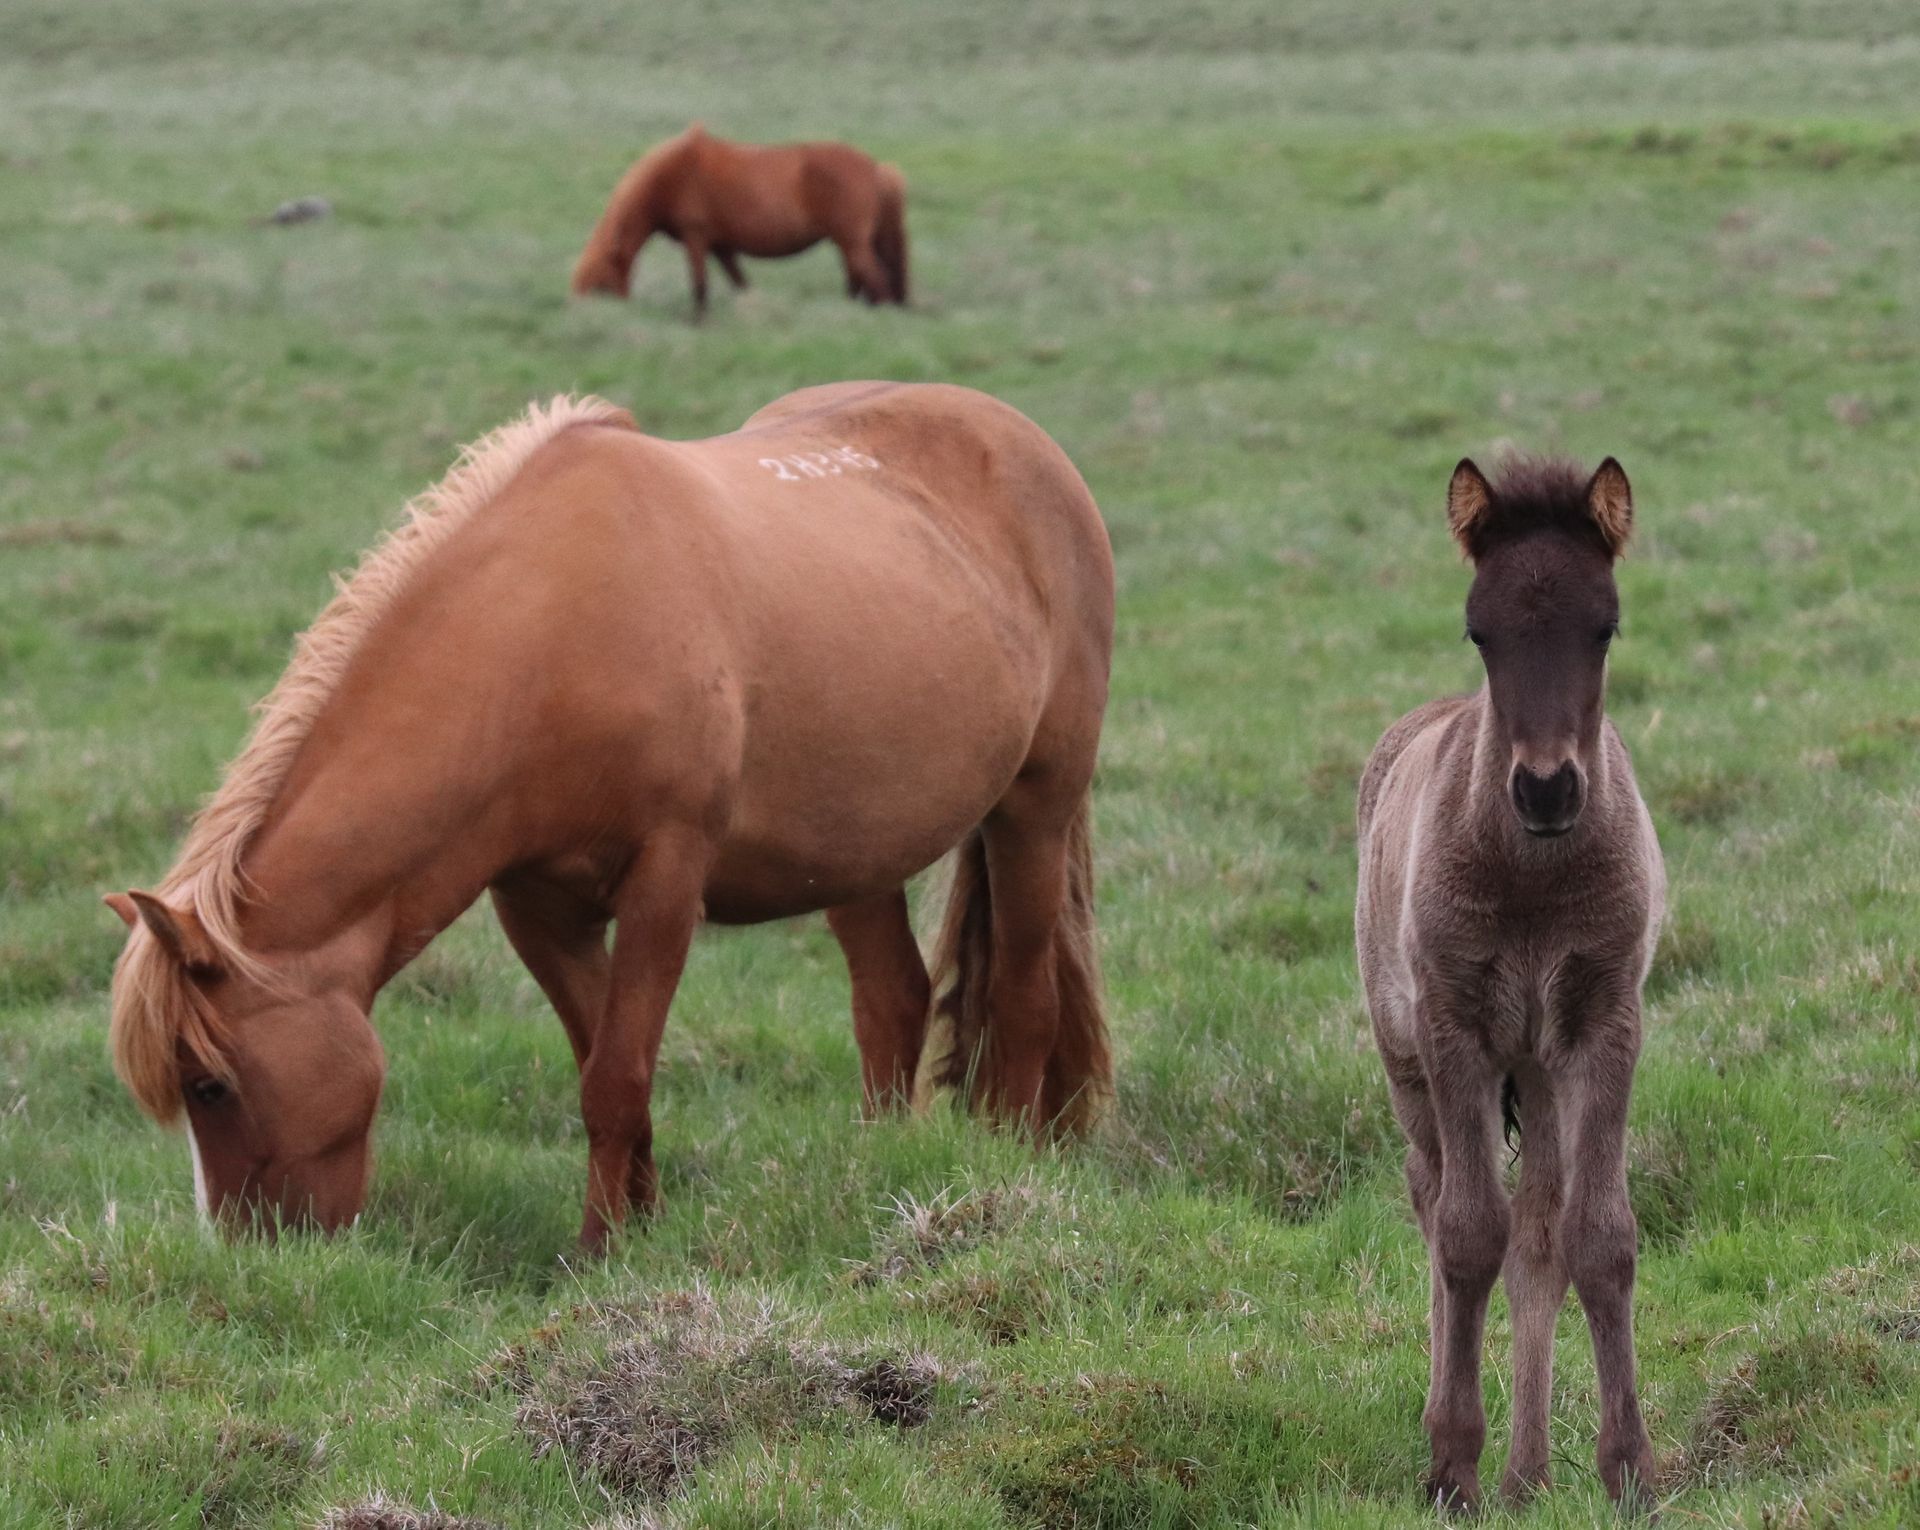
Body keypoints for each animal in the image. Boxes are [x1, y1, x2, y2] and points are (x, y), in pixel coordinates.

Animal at [105, 381, 1114, 1251]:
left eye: (209, 1085)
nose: (249, 1252)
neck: (548, 643)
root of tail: (1025, 445)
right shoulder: (538, 906)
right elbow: (603, 1068)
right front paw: (636, 1227)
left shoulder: (665, 883)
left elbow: (616, 1075)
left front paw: (597, 1249)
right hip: (856, 849)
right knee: (892, 1002)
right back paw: (876, 1168)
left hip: (1036, 805)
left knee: (1024, 994)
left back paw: (1018, 1162)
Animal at [570, 125, 909, 315]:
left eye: (600, 287)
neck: (672, 176)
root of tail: (875, 169)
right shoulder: (721, 247)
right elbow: (740, 283)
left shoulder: (696, 239)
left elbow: (700, 286)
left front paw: (698, 321)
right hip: (850, 244)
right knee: (860, 279)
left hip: (852, 243)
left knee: (876, 282)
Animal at [1354, 456, 1664, 1512]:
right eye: (1478, 631)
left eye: (1605, 626)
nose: (1546, 788)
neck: (1532, 881)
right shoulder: (1456, 1029)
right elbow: (1464, 1236)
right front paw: (1451, 1466)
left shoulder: (1602, 1025)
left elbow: (1596, 1240)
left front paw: (1631, 1471)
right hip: (1411, 1060)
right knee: (1431, 1197)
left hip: (1536, 1067)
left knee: (1538, 1239)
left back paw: (1529, 1473)